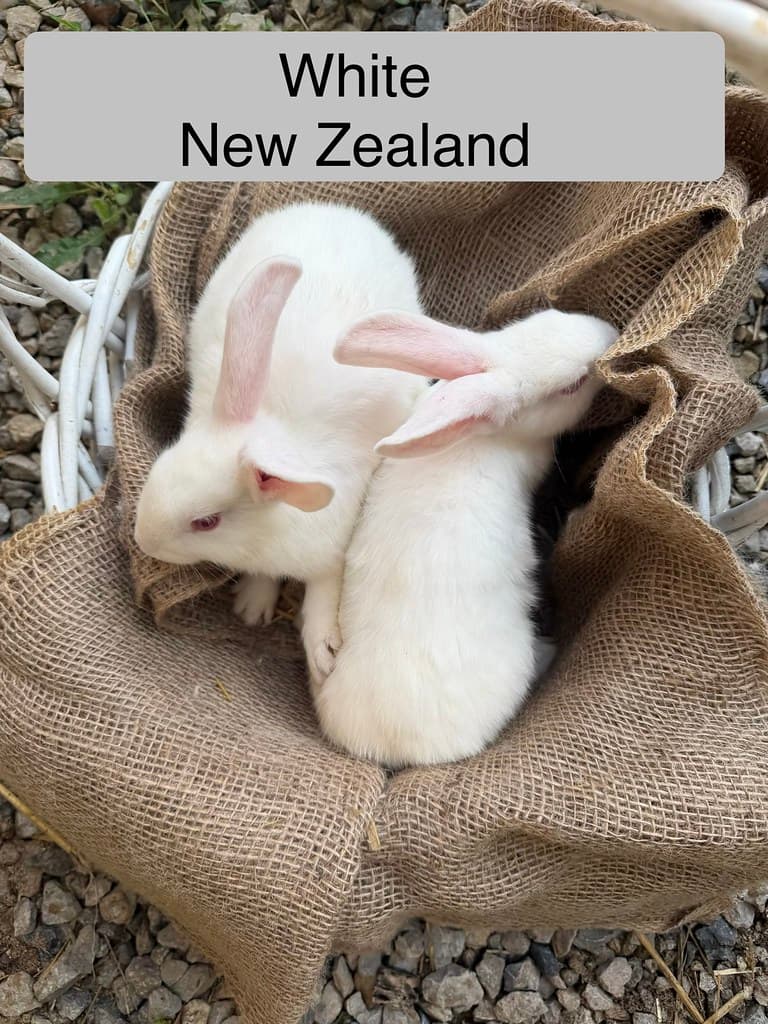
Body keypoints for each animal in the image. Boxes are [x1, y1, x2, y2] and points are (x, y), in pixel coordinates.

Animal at [134, 202, 426, 685]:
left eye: (206, 522)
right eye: (159, 467)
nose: (143, 542)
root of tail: (338, 210)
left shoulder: (331, 551)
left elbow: (324, 592)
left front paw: (324, 655)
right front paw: (252, 608)